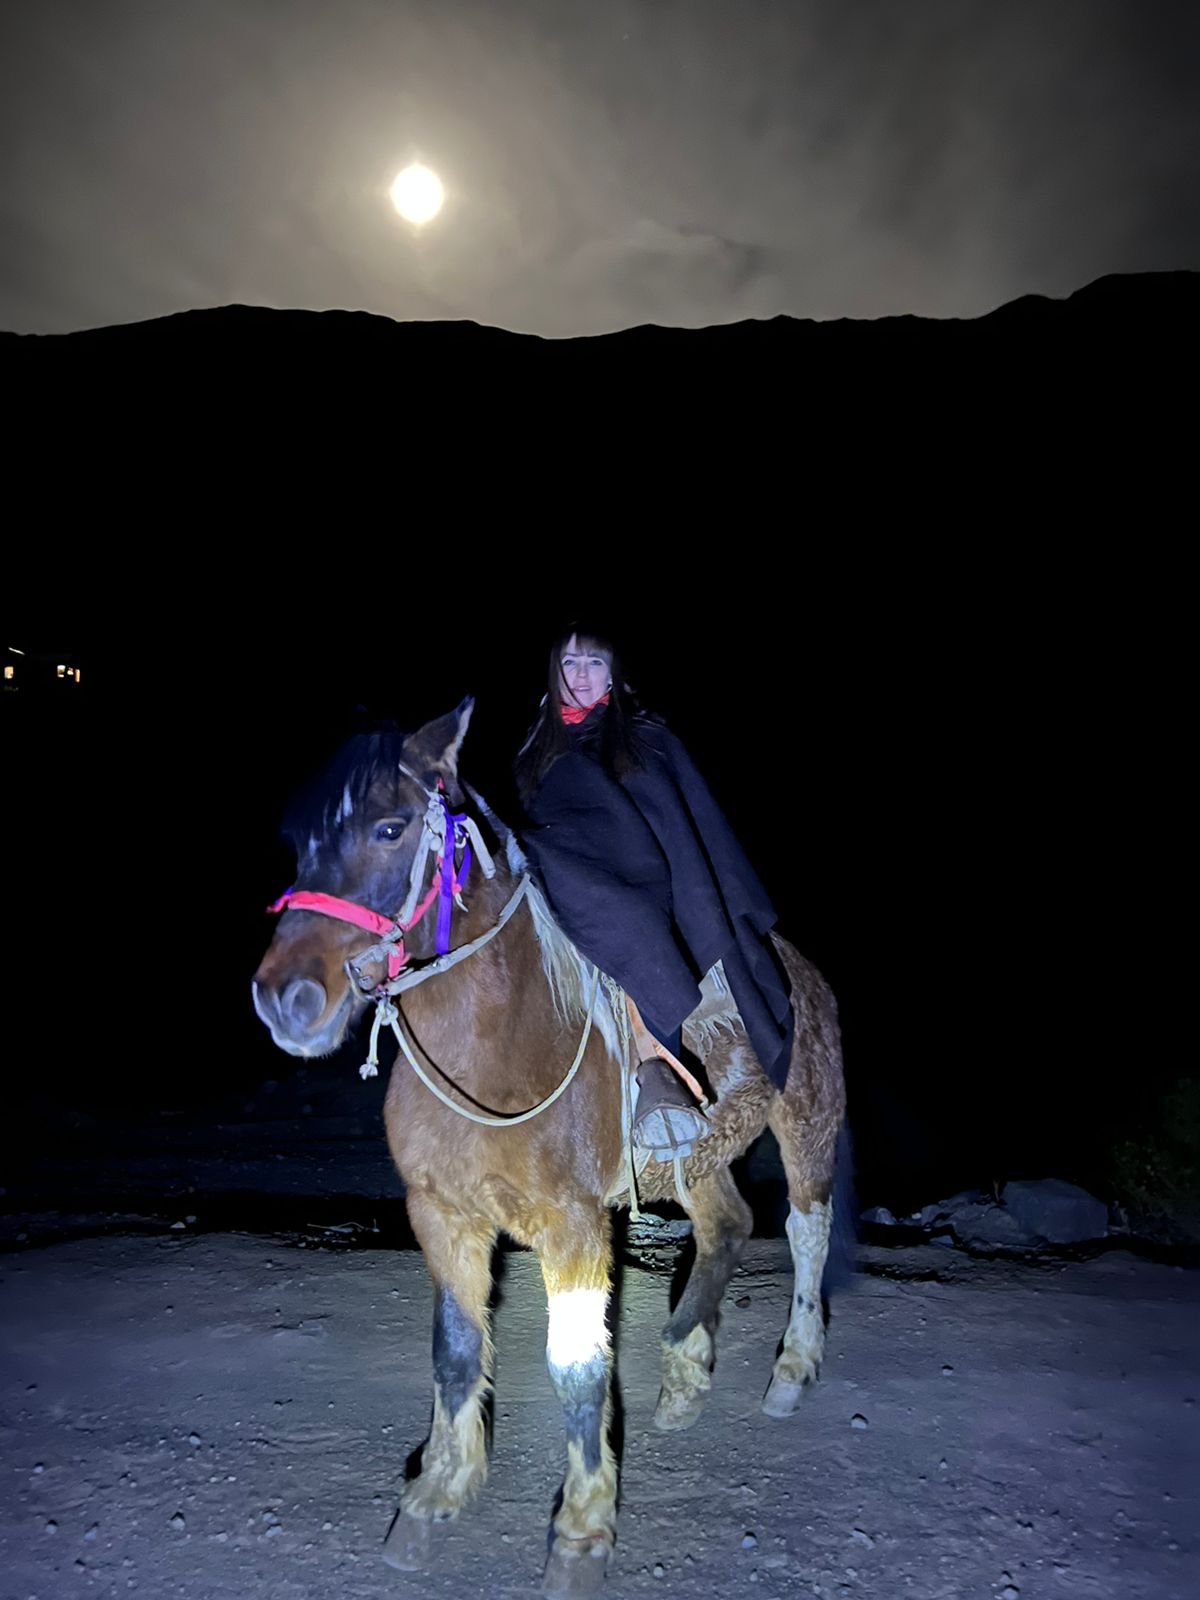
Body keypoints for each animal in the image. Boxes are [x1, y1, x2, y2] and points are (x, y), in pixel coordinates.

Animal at [252, 704, 851, 1600]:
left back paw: (791, 1369)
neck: (497, 1043)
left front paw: (581, 1530)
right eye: (296, 843)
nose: (284, 1000)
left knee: (808, 1231)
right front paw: (436, 1496)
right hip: (696, 1157)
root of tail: (795, 967)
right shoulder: (441, 1216)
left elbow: (577, 1367)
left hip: (808, 1122)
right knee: (728, 1226)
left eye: (392, 828)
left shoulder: (573, 1227)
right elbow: (457, 1351)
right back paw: (684, 1370)